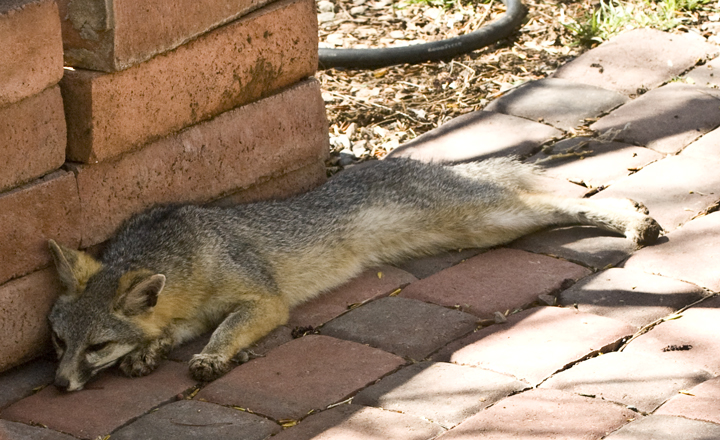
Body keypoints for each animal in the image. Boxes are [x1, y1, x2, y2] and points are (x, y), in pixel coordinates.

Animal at [47, 157, 661, 391]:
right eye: (58, 342)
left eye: (95, 346)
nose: (57, 385)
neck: (184, 254)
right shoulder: (187, 312)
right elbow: (169, 333)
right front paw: (147, 355)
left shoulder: (265, 301)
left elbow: (227, 328)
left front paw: (213, 358)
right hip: (488, 230)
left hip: (490, 219)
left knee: (563, 201)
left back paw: (632, 217)